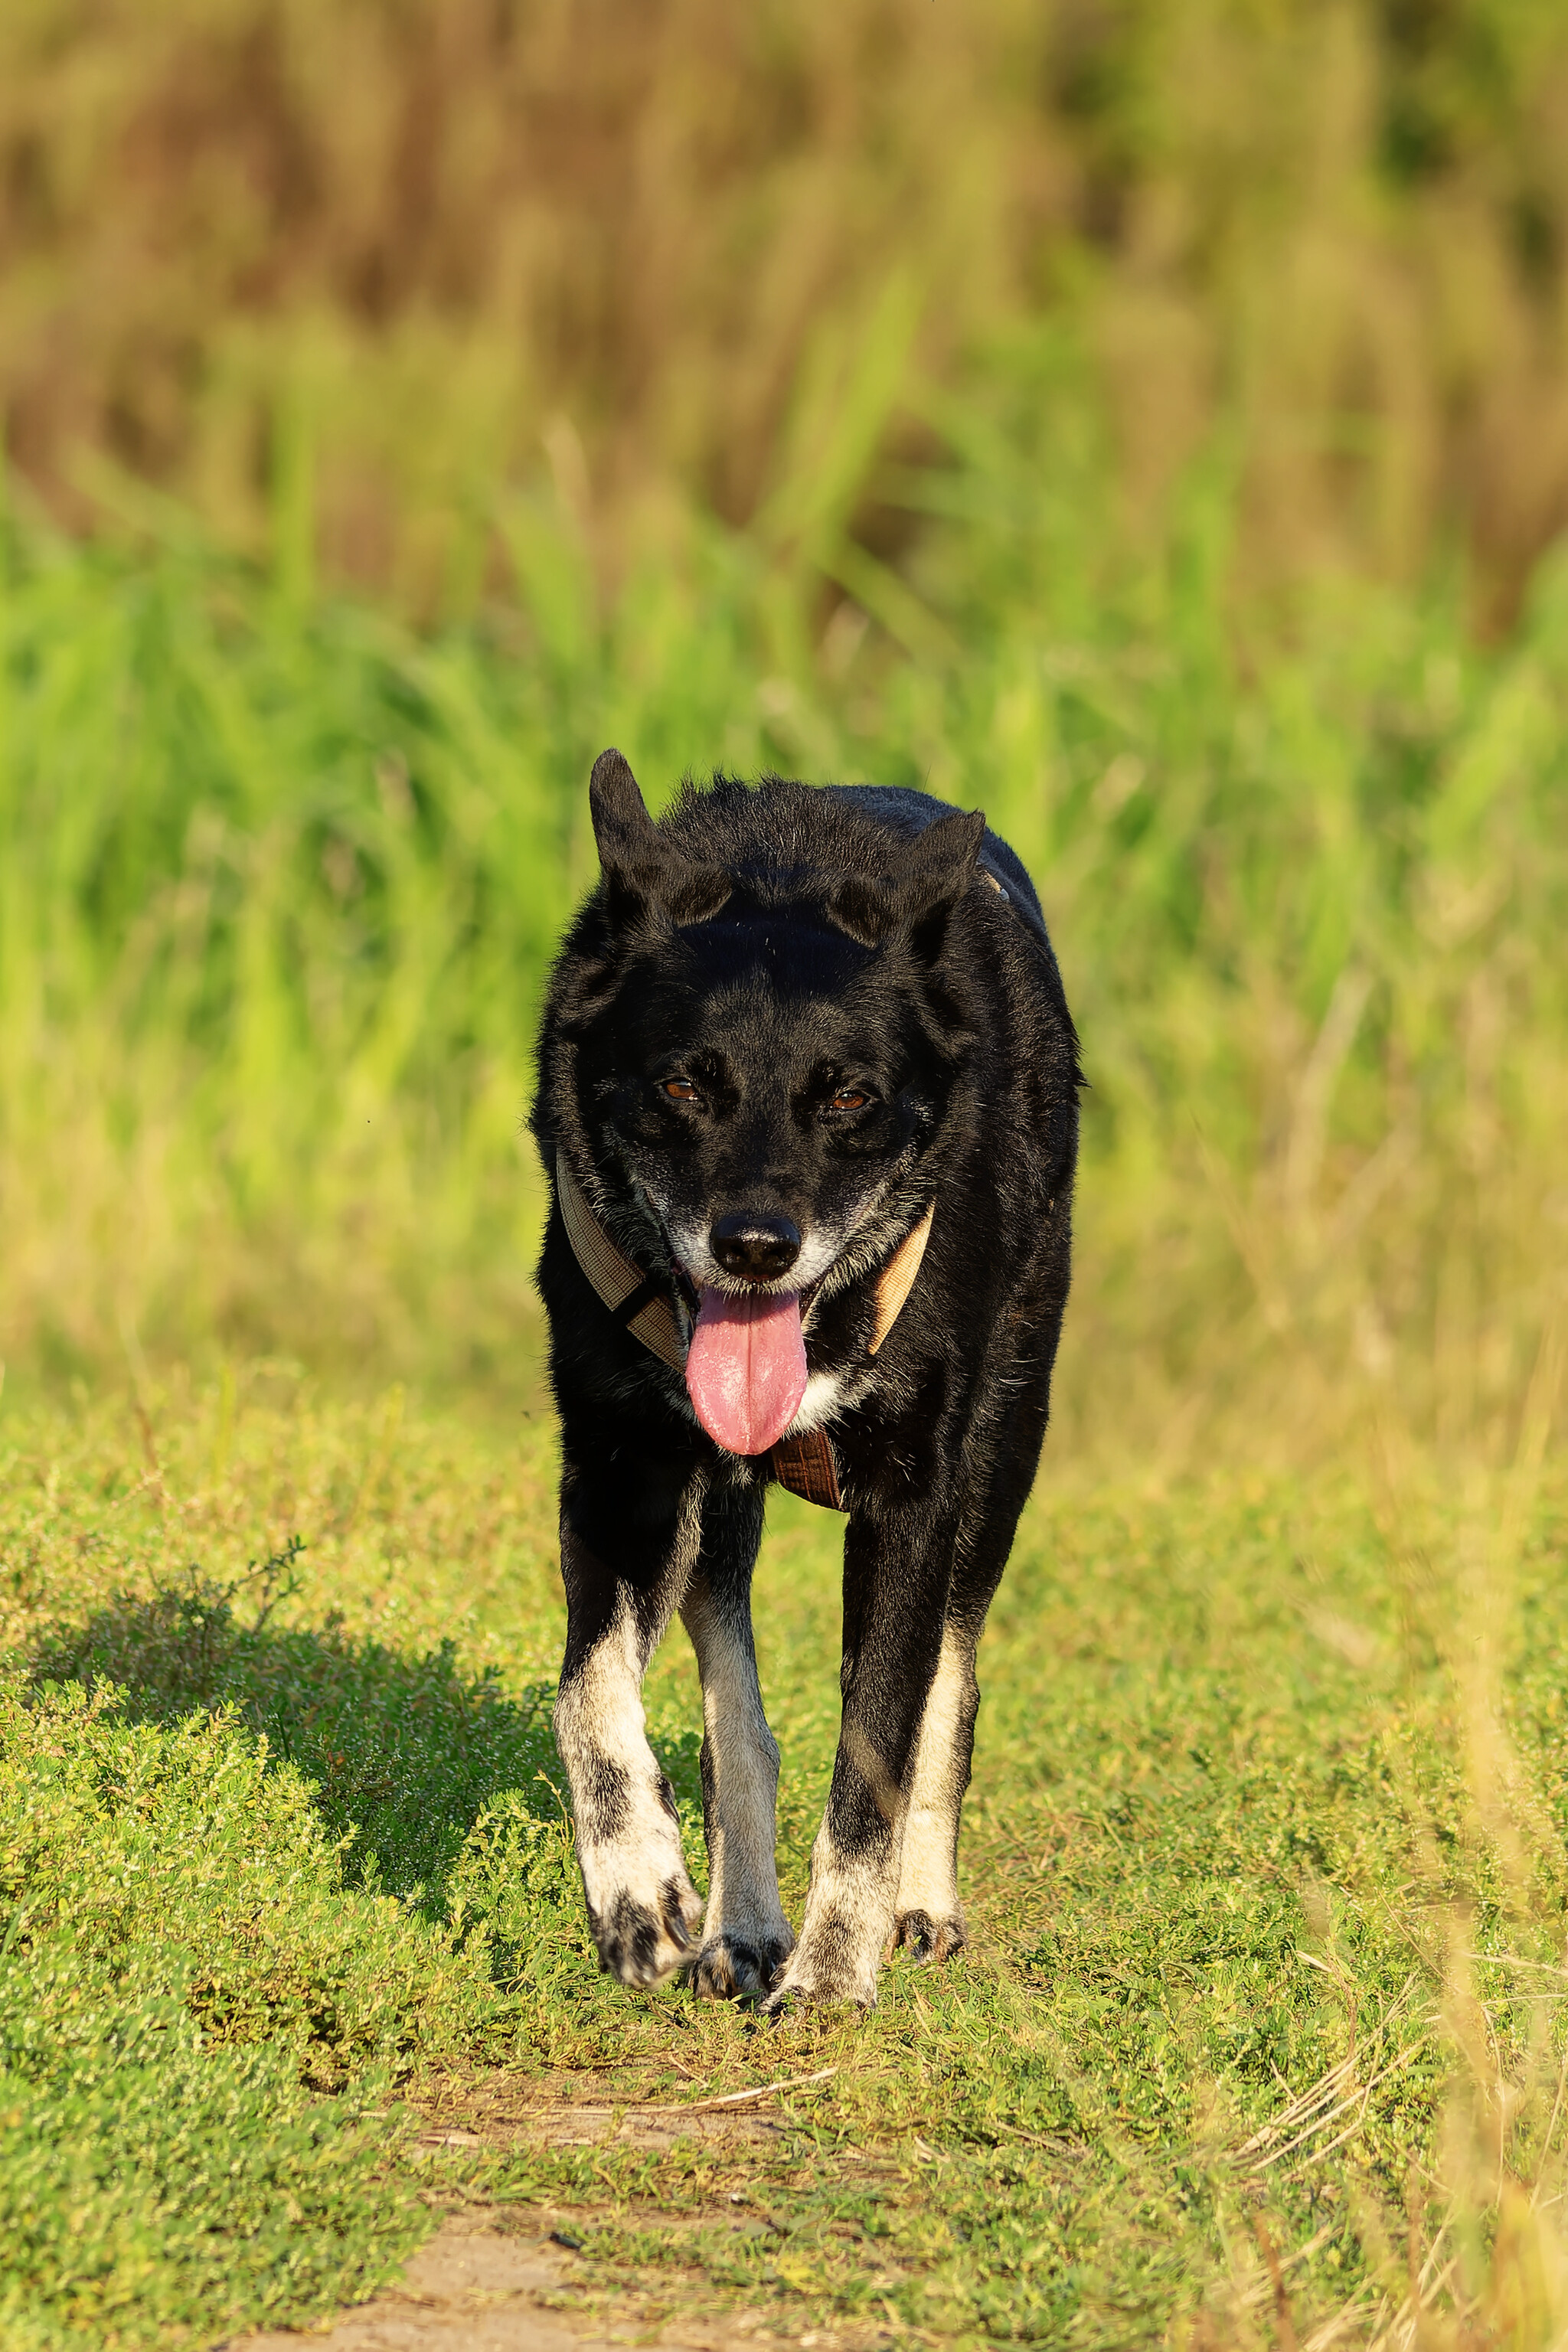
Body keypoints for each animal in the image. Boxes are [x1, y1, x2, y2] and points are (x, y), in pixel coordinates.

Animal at [526, 753, 1081, 2004]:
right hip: (712, 1511)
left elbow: (881, 1739)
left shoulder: (914, 1498)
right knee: (734, 1709)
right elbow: (589, 1690)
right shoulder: (621, 1469)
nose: (754, 1248)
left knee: (948, 1691)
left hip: (1001, 1462)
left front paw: (834, 1973)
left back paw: (915, 1907)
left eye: (849, 1096)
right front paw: (637, 1888)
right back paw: (739, 1924)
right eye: (684, 1086)